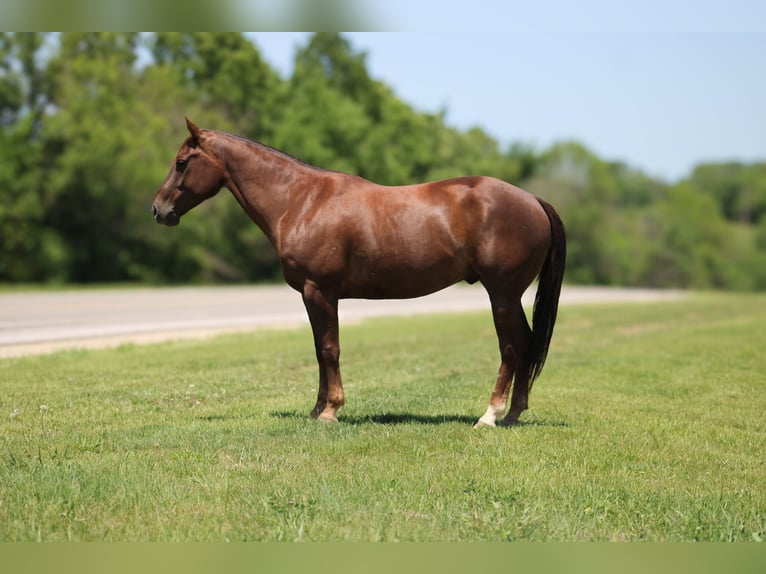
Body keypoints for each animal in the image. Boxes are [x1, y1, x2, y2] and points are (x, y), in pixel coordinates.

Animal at [153, 119, 568, 430]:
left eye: (182, 162)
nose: (158, 210)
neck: (302, 201)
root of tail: (533, 201)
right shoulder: (314, 295)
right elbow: (320, 350)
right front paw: (316, 409)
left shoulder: (319, 291)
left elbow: (329, 348)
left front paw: (330, 411)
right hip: (508, 296)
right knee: (527, 342)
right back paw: (514, 413)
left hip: (502, 294)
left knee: (513, 345)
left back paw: (491, 415)